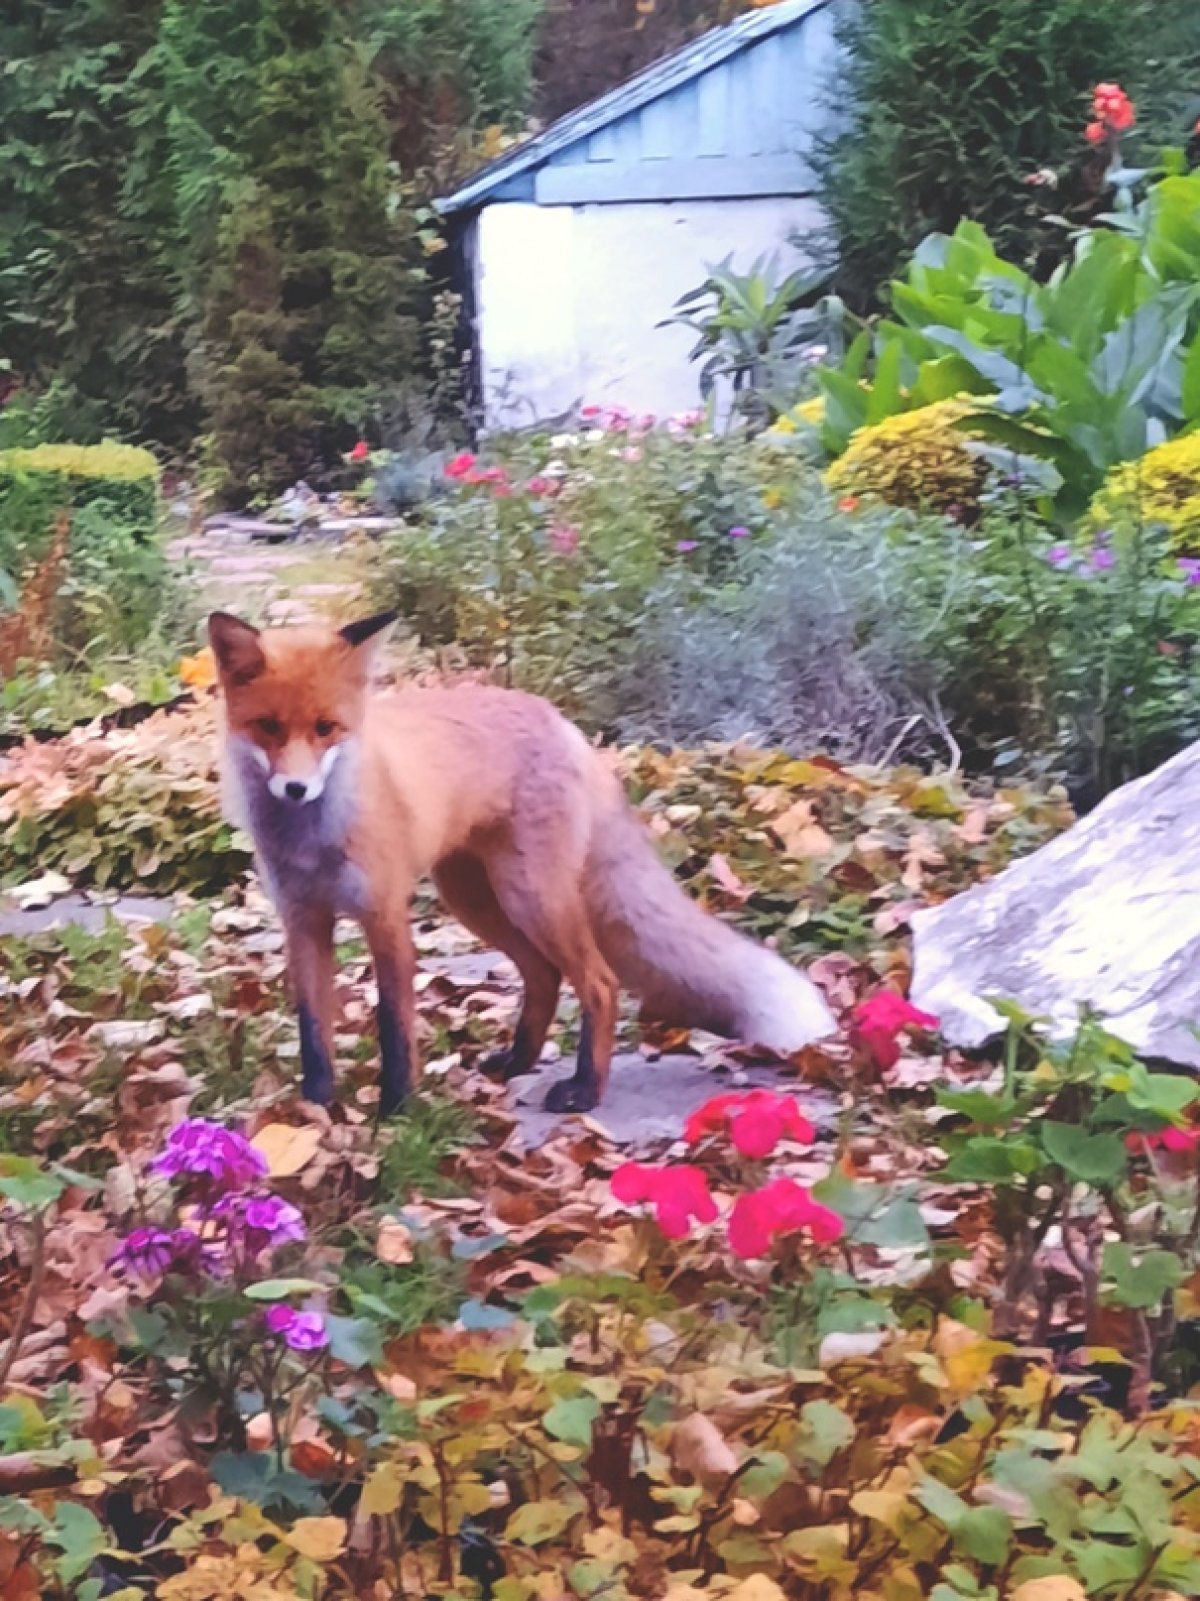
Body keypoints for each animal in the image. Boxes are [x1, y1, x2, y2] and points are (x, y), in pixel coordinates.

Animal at [206, 605, 838, 1120]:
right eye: (268, 727)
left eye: (326, 729)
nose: (295, 789)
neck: (312, 841)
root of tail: (559, 719)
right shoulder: (303, 920)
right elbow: (313, 1031)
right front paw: (313, 1113)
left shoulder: (385, 916)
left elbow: (394, 1027)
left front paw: (397, 1112)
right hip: (477, 898)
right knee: (544, 974)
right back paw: (518, 1061)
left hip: (531, 895)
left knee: (598, 982)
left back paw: (584, 1091)